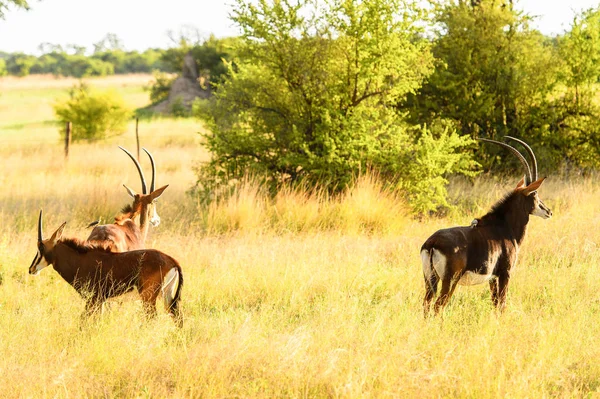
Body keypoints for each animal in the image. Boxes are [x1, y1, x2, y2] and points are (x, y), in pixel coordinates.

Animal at [29, 211, 183, 326]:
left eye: (41, 247)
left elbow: (83, 320)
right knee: (177, 317)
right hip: (167, 296)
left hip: (148, 297)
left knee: (152, 319)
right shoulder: (101, 301)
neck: (81, 260)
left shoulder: (93, 299)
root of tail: (171, 260)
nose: (31, 269)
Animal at [420, 136, 552, 318]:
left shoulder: (492, 277)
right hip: (450, 280)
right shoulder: (505, 273)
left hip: (430, 279)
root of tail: (432, 243)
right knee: (439, 305)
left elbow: (494, 303)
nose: (548, 211)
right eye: (534, 194)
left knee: (426, 304)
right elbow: (502, 304)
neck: (504, 227)